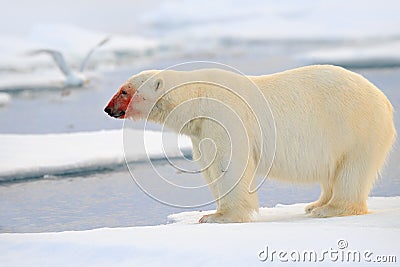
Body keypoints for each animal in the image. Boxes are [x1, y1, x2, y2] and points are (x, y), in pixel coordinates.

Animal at [104, 65, 396, 224]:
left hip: (356, 128)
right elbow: (210, 165)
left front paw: (217, 216)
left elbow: (229, 163)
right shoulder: (200, 130)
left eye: (124, 90)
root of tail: (384, 101)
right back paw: (315, 204)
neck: (198, 97)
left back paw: (331, 209)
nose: (108, 109)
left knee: (352, 171)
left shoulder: (225, 115)